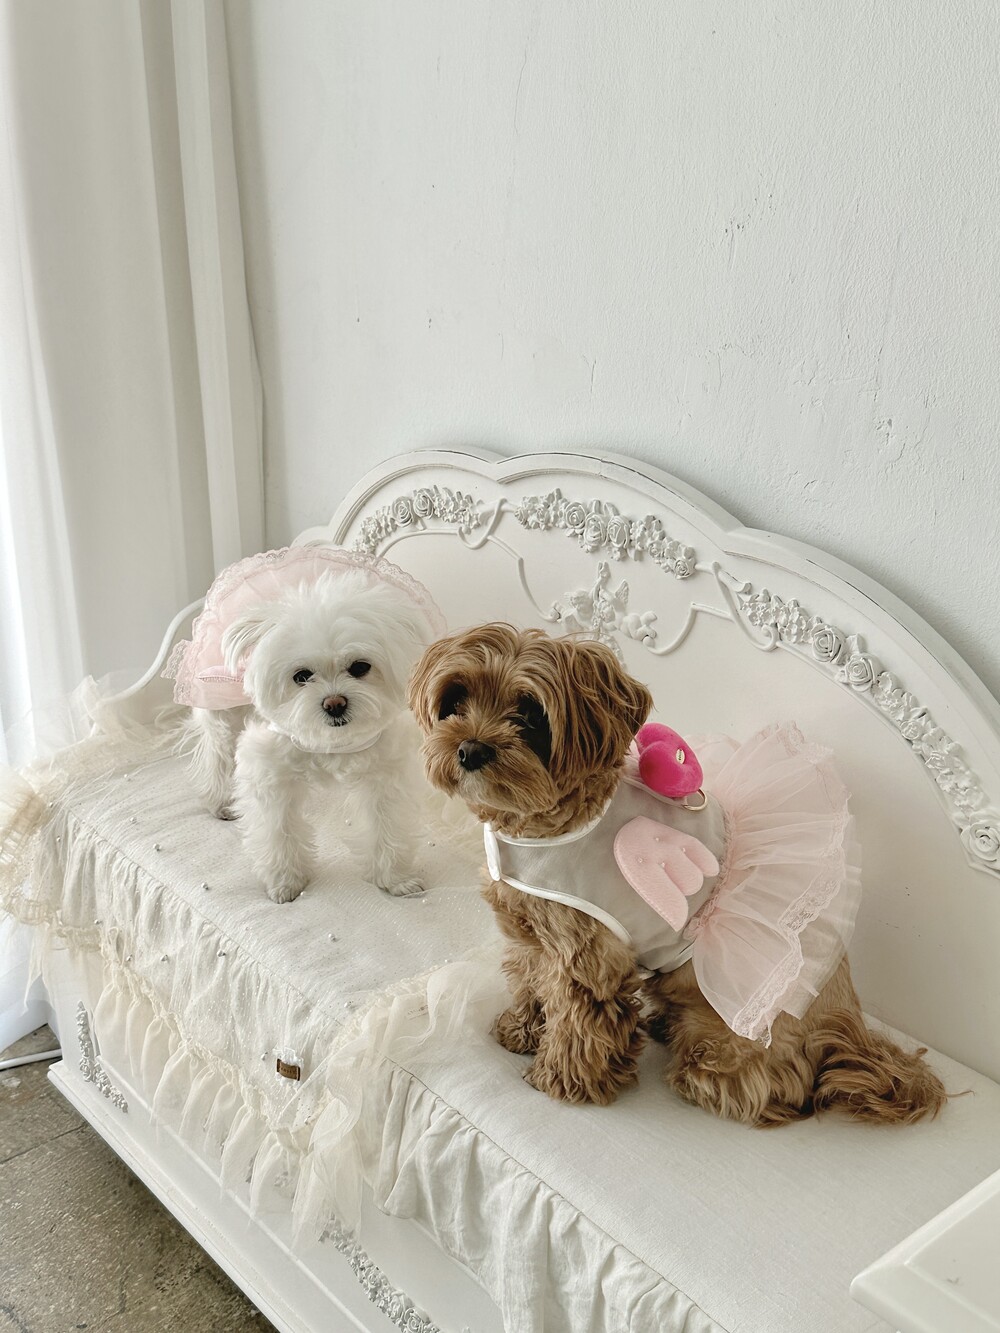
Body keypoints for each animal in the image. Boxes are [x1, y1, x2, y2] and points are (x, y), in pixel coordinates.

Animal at [176, 549, 442, 903]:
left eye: (360, 667)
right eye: (301, 676)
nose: (335, 703)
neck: (330, 740)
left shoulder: (385, 776)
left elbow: (387, 827)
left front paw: (396, 879)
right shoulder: (270, 775)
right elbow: (279, 830)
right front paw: (285, 882)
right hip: (219, 707)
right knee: (217, 754)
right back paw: (221, 801)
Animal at [408, 623, 947, 1125]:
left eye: (530, 716)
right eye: (455, 700)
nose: (470, 750)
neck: (550, 822)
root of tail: (846, 1028)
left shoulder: (585, 956)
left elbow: (578, 1019)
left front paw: (561, 1080)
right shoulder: (532, 931)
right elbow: (529, 980)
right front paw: (520, 1028)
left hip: (734, 1043)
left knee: (774, 1091)